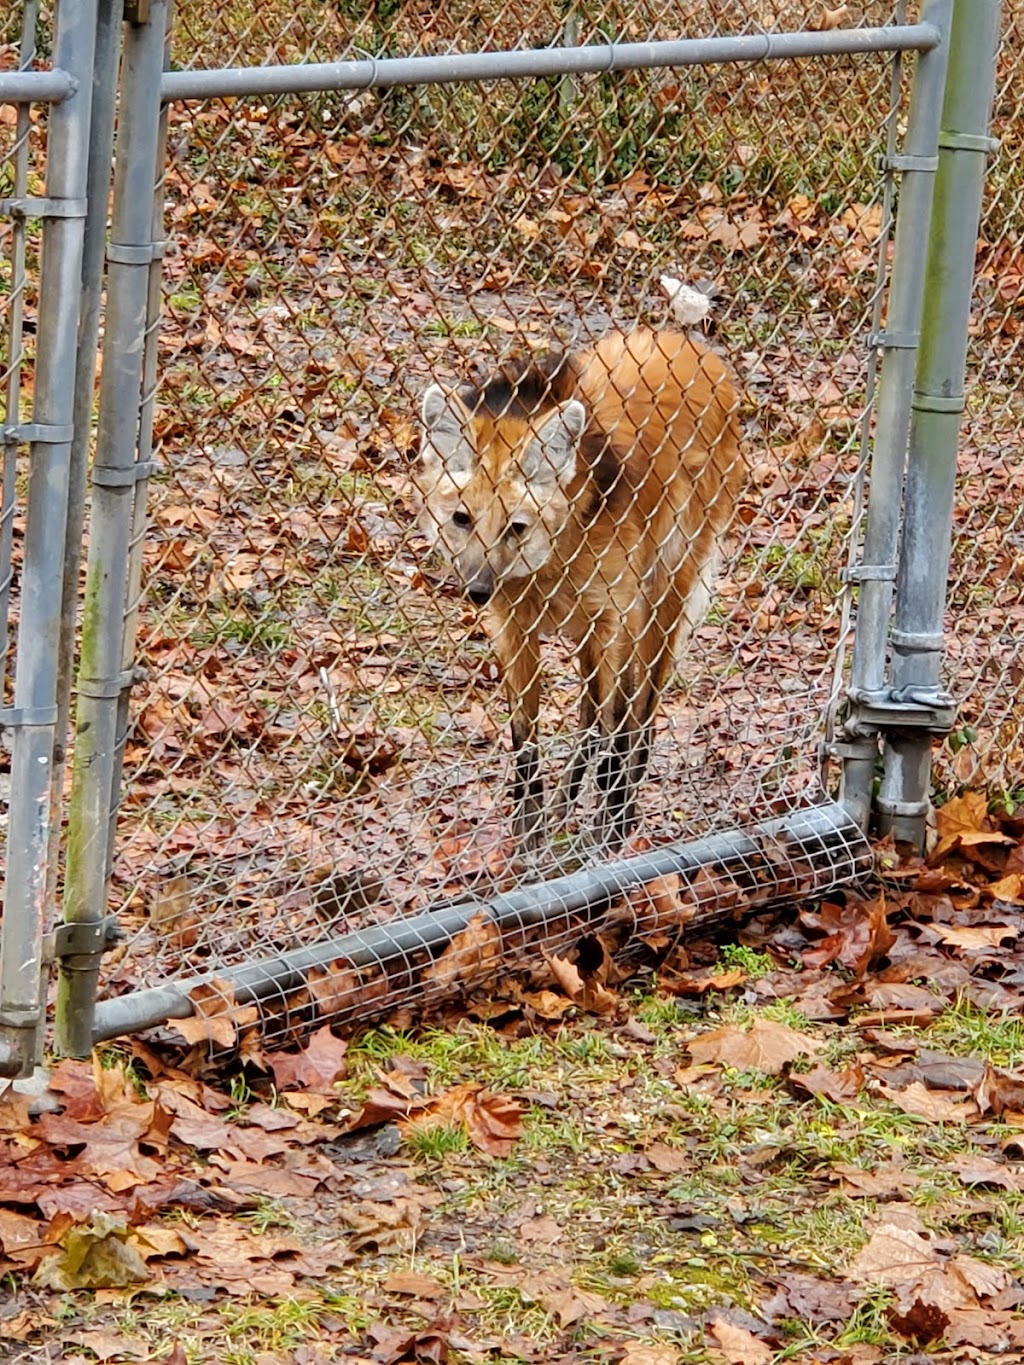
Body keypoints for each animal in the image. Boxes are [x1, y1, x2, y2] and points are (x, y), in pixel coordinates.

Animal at [417, 326, 748, 846]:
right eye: (462, 519)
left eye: (515, 527)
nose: (477, 590)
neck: (553, 558)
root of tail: (688, 343)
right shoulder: (515, 624)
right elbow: (526, 734)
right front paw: (529, 833)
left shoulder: (614, 614)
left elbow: (615, 722)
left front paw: (606, 829)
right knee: (596, 712)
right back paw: (570, 802)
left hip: (663, 587)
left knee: (638, 707)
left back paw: (619, 810)